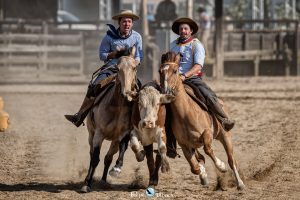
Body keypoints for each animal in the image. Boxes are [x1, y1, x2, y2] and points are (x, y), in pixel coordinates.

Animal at [81, 47, 139, 192]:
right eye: (117, 68)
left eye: (135, 67)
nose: (126, 93)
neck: (117, 107)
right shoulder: (99, 133)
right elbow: (95, 158)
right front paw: (87, 183)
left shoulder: (124, 133)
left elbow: (122, 149)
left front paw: (116, 169)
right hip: (91, 133)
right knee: (92, 154)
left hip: (114, 140)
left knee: (108, 158)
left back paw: (103, 180)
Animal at [158, 50, 245, 190]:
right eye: (160, 71)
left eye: (175, 71)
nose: (166, 91)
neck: (185, 113)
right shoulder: (184, 144)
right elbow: (195, 167)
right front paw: (203, 175)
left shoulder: (207, 133)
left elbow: (208, 149)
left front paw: (221, 166)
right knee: (201, 157)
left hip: (225, 135)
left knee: (231, 160)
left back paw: (240, 183)